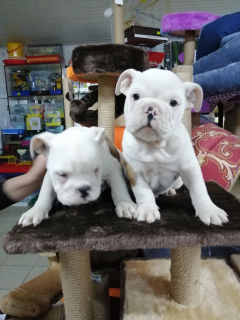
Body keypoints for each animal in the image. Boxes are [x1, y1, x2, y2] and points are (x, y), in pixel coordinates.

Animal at [116, 69, 229, 226]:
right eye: (136, 96)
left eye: (173, 103)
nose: (151, 109)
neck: (154, 145)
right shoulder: (135, 172)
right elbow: (143, 192)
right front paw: (147, 210)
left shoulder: (190, 169)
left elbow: (200, 190)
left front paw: (210, 210)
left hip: (178, 182)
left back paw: (169, 191)